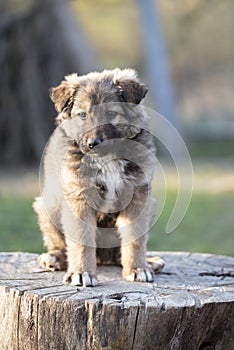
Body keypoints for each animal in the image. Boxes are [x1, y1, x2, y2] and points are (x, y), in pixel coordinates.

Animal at [33, 68, 165, 288]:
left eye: (111, 113)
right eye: (82, 115)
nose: (93, 143)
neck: (107, 160)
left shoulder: (138, 196)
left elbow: (135, 238)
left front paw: (137, 269)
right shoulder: (79, 198)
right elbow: (81, 241)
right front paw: (81, 273)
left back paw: (149, 261)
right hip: (46, 206)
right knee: (59, 244)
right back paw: (54, 258)